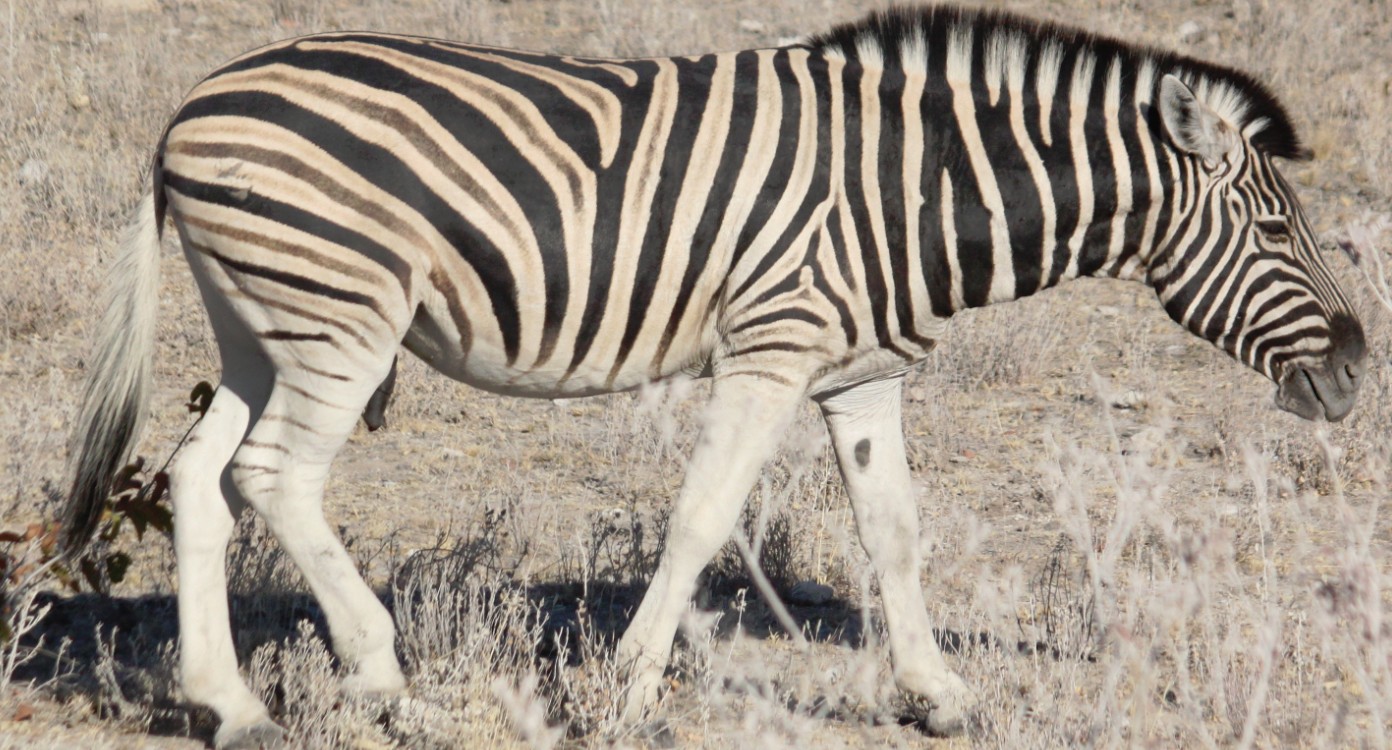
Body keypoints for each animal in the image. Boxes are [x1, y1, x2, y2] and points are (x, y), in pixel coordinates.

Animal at [59, 4, 1364, 745]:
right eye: (1274, 228)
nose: (1356, 371)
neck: (916, 187)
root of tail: (191, 106)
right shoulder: (772, 346)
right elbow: (701, 517)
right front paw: (631, 692)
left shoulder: (861, 371)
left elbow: (895, 532)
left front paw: (937, 695)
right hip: (342, 321)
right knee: (274, 478)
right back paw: (384, 681)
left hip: (262, 326)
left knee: (198, 479)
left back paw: (229, 706)